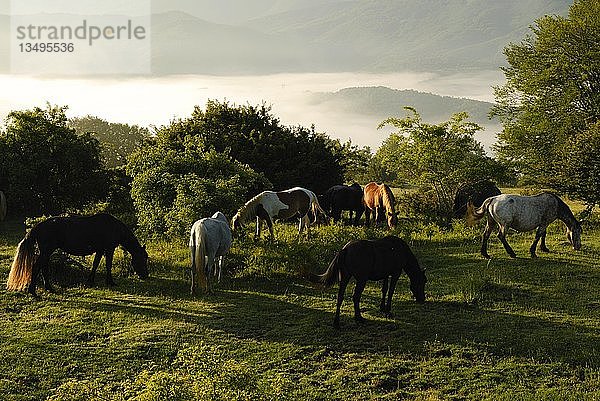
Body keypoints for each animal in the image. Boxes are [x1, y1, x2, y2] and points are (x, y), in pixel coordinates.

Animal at [7, 212, 149, 294]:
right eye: (143, 258)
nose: (145, 276)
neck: (113, 227)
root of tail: (39, 226)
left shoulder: (100, 250)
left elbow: (95, 265)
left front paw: (90, 281)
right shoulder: (109, 249)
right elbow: (108, 265)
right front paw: (110, 282)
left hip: (46, 252)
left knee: (44, 267)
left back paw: (49, 288)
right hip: (46, 251)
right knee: (37, 266)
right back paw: (33, 291)